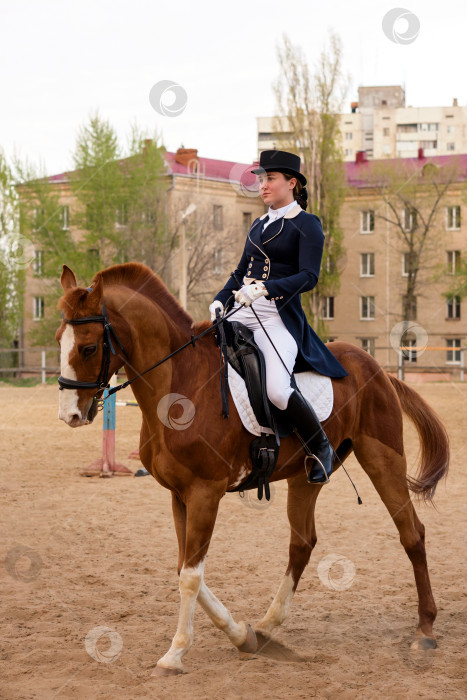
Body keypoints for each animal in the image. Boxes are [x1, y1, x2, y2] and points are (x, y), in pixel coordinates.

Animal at [56, 262, 452, 672]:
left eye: (88, 347)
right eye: (58, 340)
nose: (70, 415)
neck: (180, 384)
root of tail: (376, 368)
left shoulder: (205, 492)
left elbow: (190, 576)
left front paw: (175, 652)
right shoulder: (179, 495)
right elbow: (186, 569)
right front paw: (241, 635)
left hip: (382, 458)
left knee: (412, 534)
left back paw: (425, 630)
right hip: (305, 476)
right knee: (302, 543)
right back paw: (266, 626)